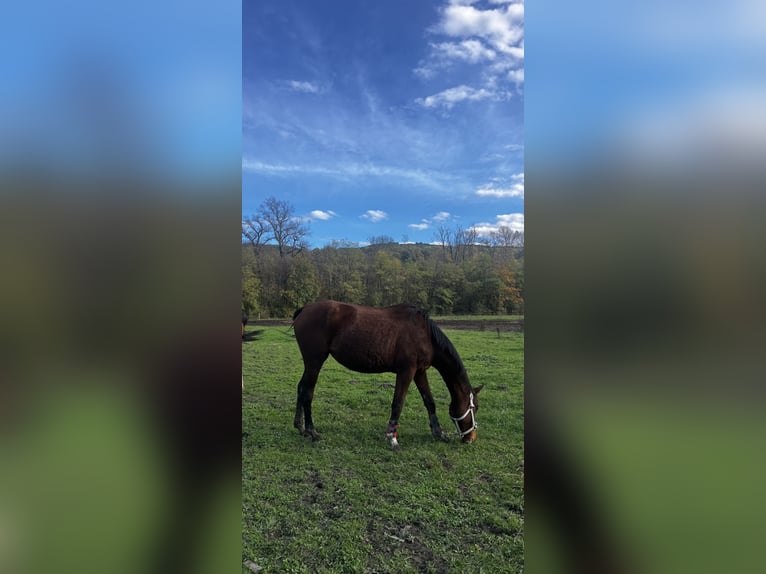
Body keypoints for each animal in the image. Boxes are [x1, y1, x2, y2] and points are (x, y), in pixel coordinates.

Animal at [292, 302, 484, 450]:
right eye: (474, 408)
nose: (471, 438)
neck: (424, 334)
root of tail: (305, 309)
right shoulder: (406, 371)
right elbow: (397, 404)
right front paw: (392, 437)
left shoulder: (420, 372)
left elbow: (429, 401)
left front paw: (439, 432)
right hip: (315, 361)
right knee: (307, 392)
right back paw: (311, 431)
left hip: (310, 363)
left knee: (301, 388)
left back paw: (299, 426)